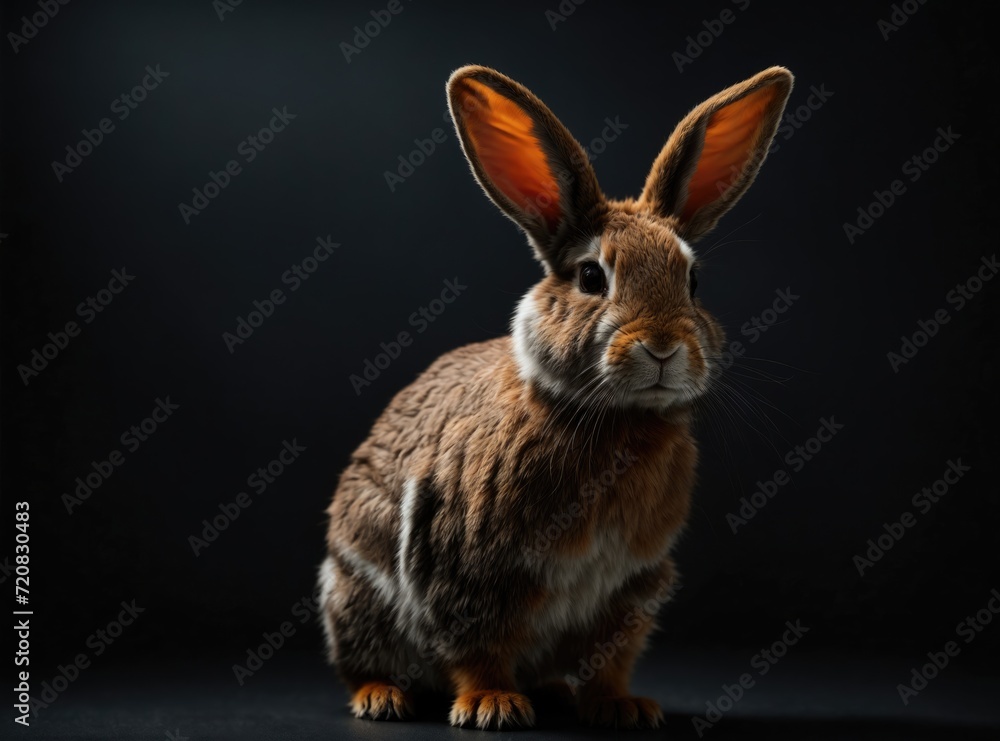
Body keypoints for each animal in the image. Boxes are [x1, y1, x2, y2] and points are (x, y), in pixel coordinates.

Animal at [319, 64, 793, 730]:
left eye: (693, 282)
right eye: (592, 277)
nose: (663, 347)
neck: (614, 418)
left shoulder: (630, 588)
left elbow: (611, 656)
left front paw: (623, 708)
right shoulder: (470, 570)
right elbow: (477, 649)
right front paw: (492, 707)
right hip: (357, 590)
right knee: (365, 659)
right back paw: (382, 698)